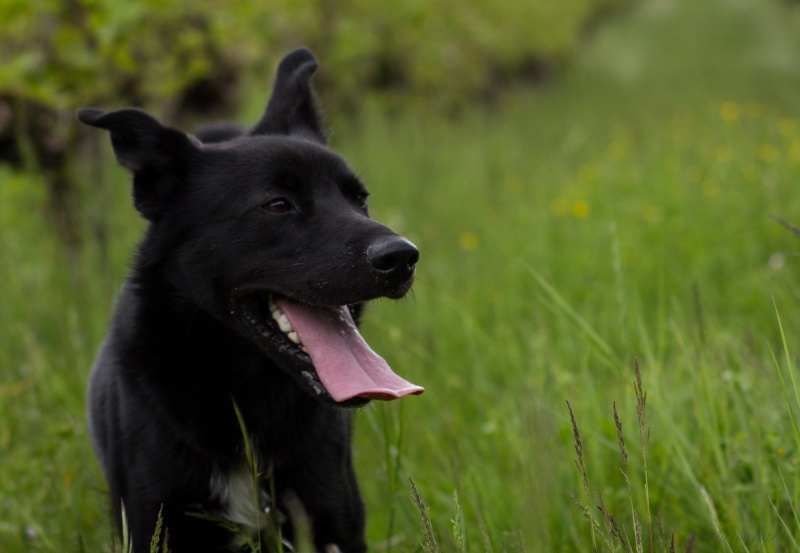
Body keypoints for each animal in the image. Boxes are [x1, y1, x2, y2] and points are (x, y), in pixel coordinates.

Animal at [77, 47, 422, 552]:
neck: (247, 394)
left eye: (359, 199)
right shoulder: (151, 525)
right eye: (277, 205)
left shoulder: (332, 522)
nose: (402, 257)